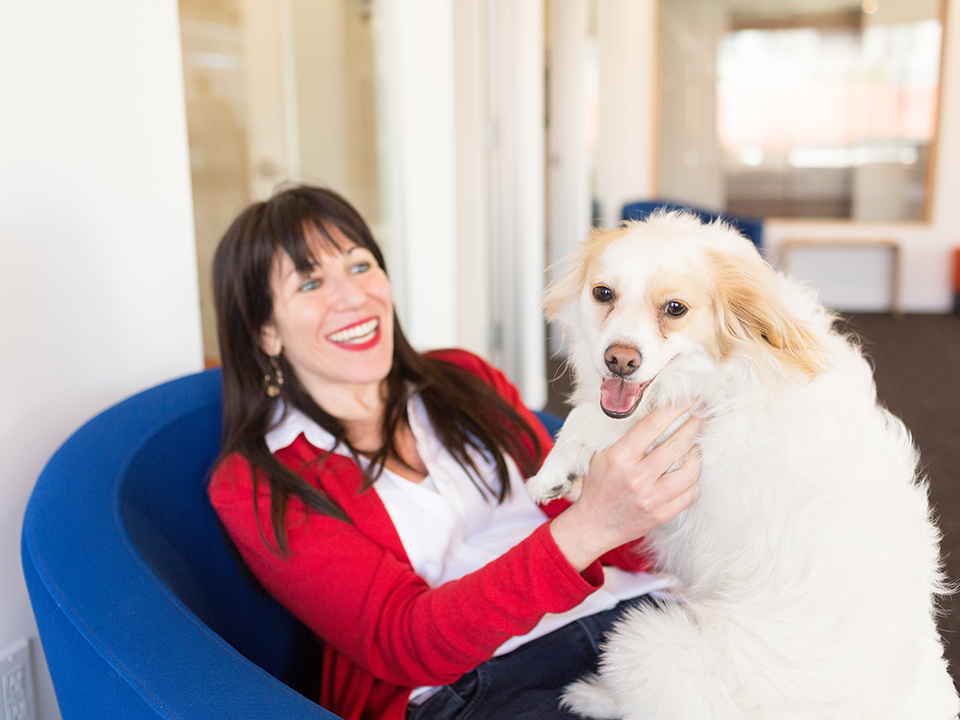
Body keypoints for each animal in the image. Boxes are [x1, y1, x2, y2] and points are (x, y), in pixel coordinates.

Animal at [524, 214, 960, 720]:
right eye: (602, 293)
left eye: (675, 308)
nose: (620, 360)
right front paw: (566, 482)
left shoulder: (673, 429)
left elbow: (587, 420)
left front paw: (551, 472)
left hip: (644, 642)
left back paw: (592, 696)